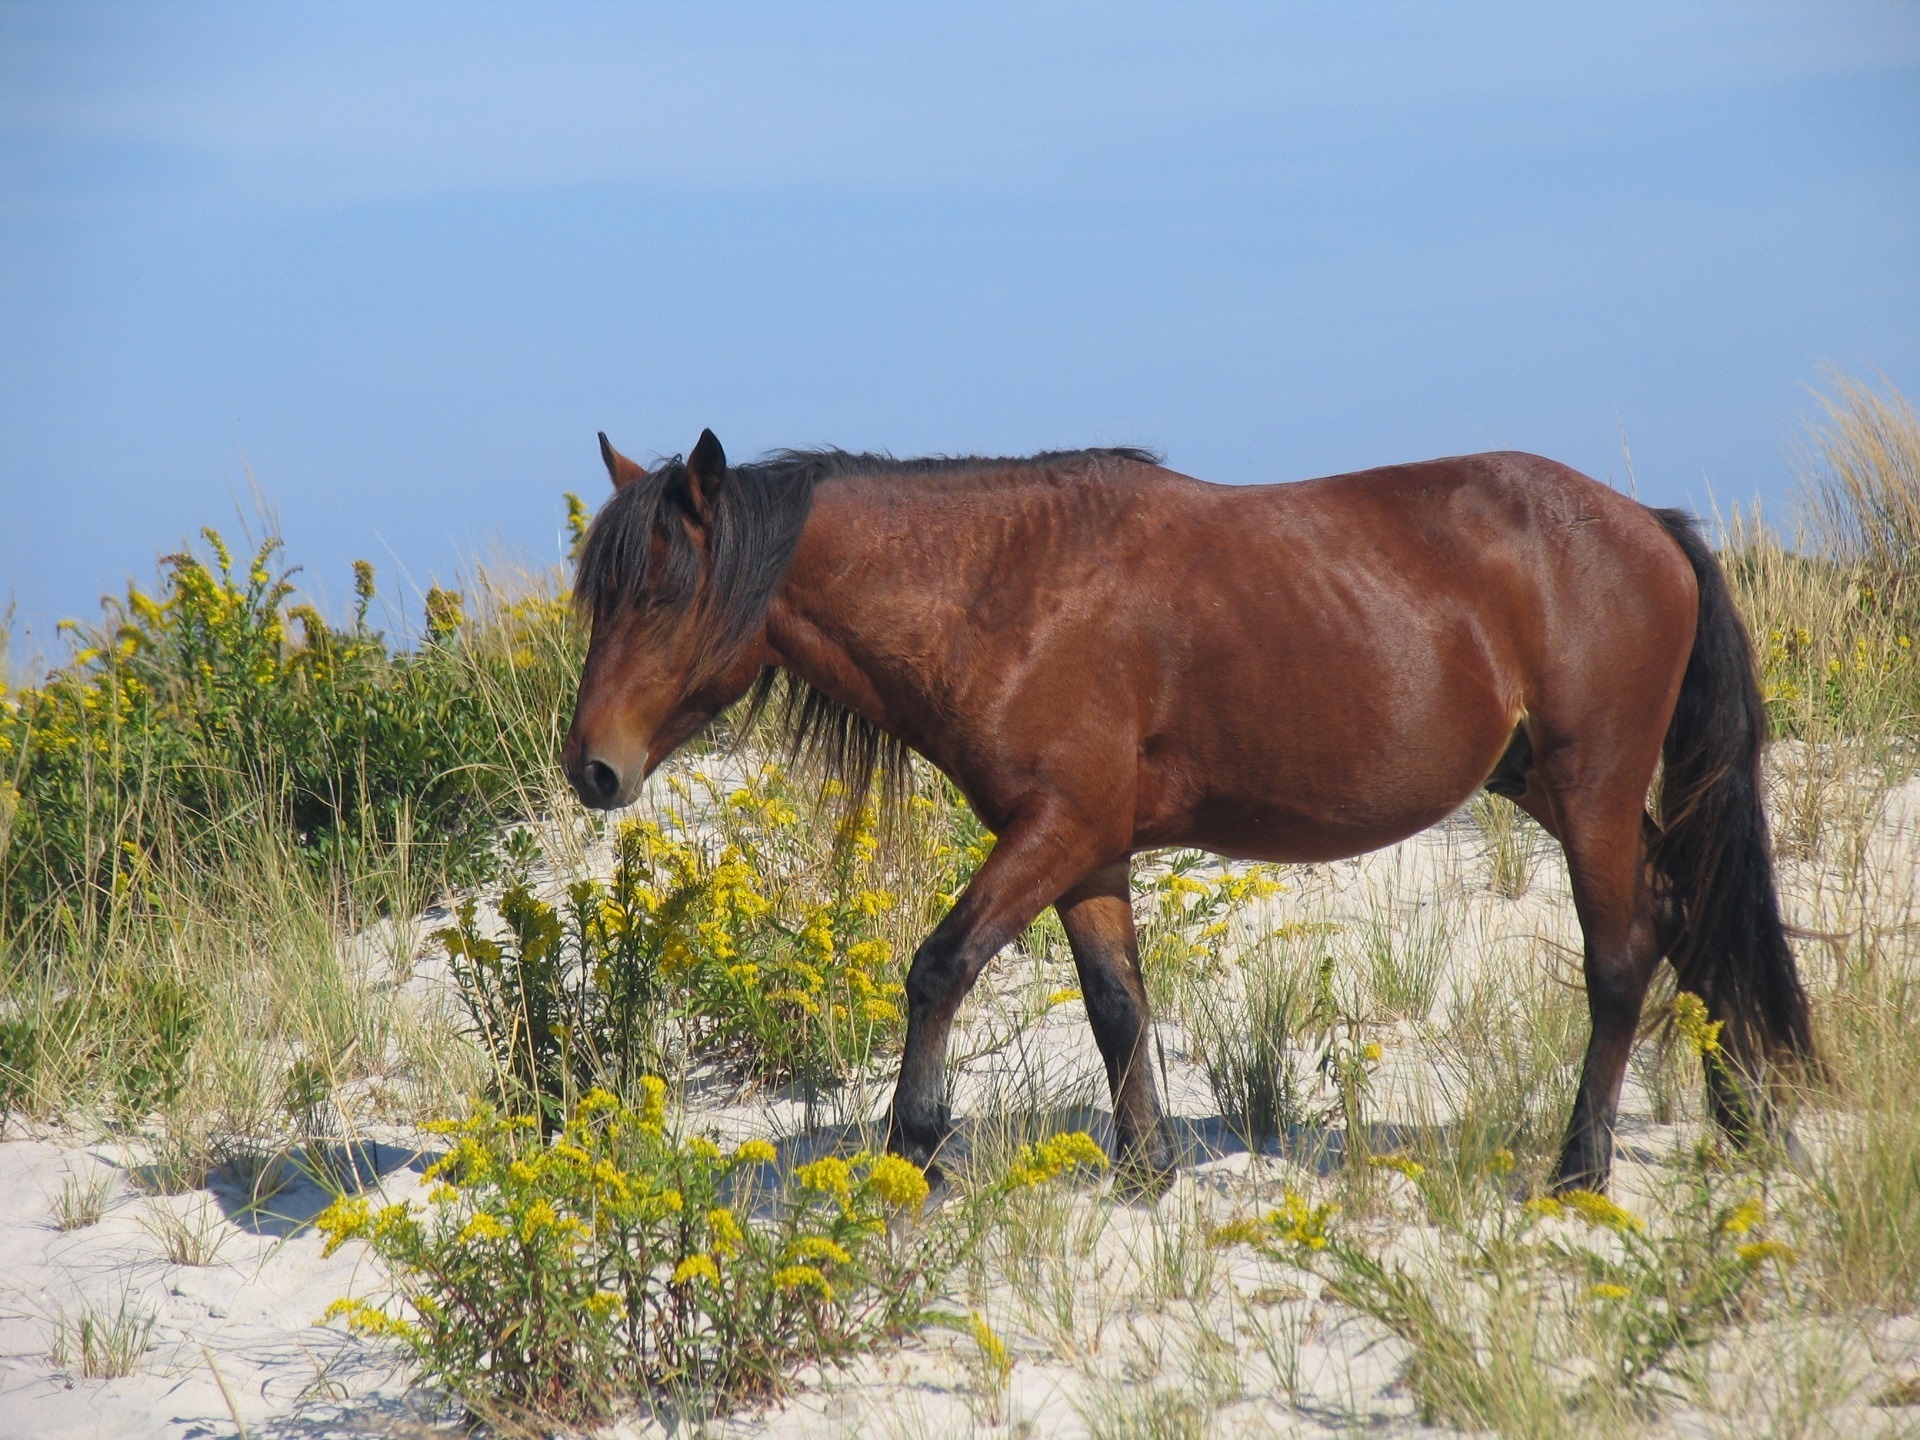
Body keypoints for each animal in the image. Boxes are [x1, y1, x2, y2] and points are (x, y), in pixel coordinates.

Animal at [560, 428, 1812, 1198]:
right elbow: (1118, 1006)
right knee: (1685, 916)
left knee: (1622, 958)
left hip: (1591, 785)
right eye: (595, 596)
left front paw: (912, 1148)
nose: (593, 770)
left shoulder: (1055, 829)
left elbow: (939, 967)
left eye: (662, 592)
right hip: (1552, 787)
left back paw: (1580, 1170)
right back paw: (1745, 1125)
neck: (1007, 592)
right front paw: (1144, 1170)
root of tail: (1646, 525)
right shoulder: (1088, 850)